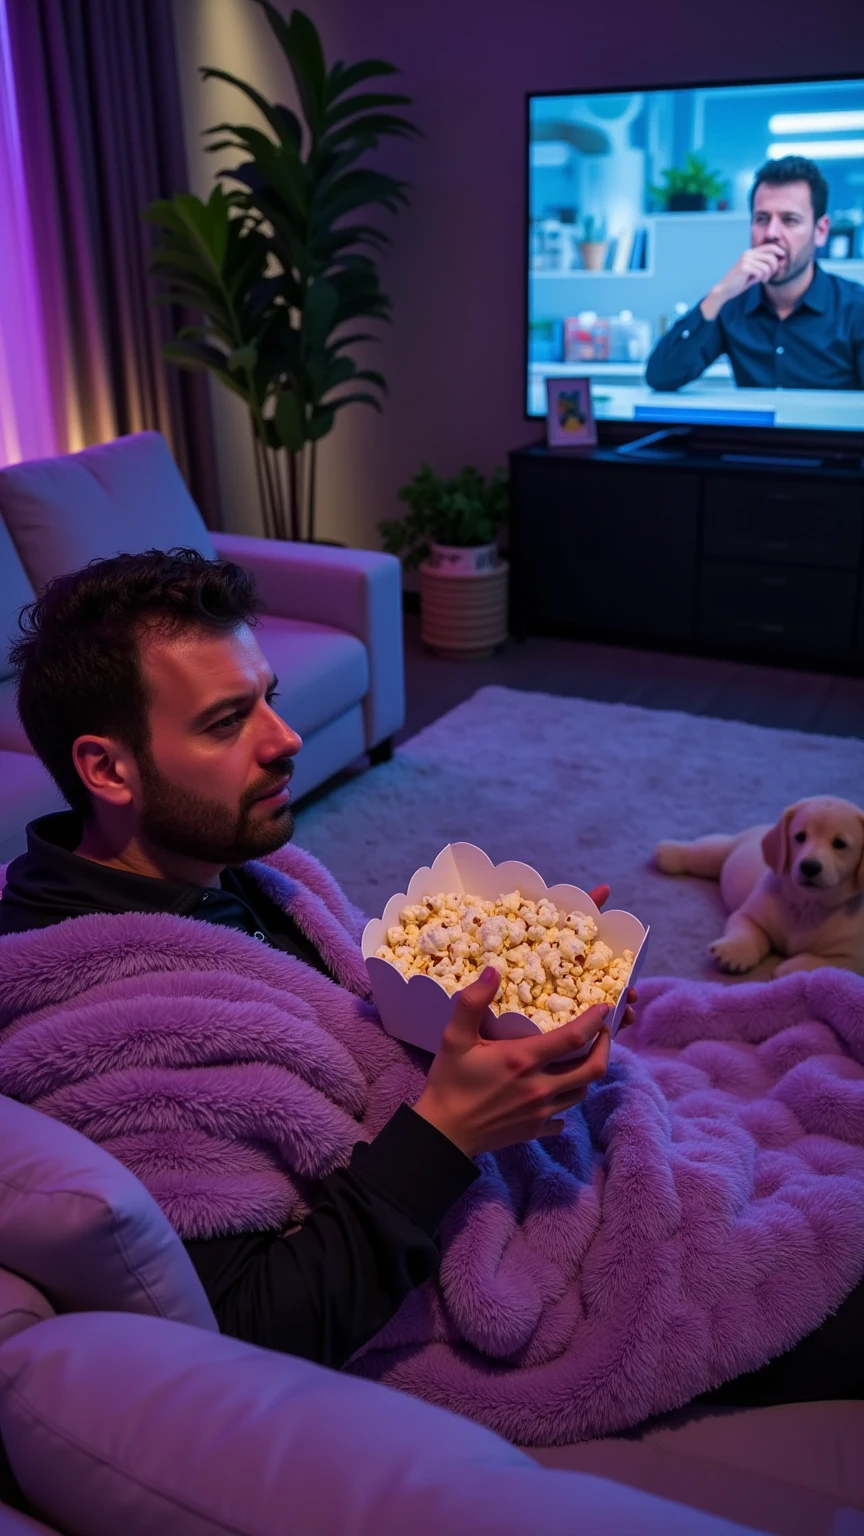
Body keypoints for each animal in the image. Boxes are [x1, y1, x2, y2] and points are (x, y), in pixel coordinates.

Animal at [651, 798, 860, 976]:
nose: (809, 866)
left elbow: (827, 963)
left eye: (839, 843)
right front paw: (735, 952)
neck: (808, 905)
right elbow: (747, 930)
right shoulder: (752, 914)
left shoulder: (853, 956)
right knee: (704, 852)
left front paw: (792, 969)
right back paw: (670, 853)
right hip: (723, 851)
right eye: (800, 837)